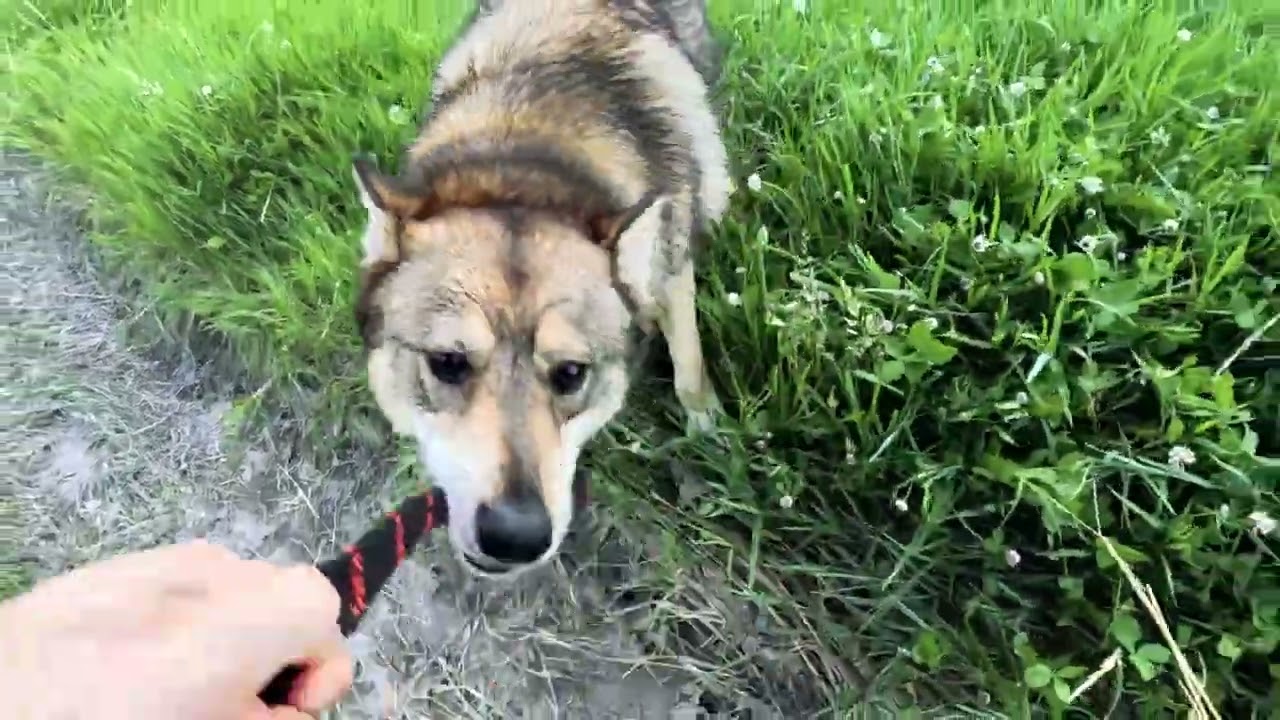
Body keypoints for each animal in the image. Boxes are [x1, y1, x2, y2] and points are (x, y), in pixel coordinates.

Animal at [350, 0, 730, 577]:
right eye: (447, 363)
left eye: (571, 374)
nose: (516, 537)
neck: (523, 162)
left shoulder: (672, 268)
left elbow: (688, 364)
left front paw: (707, 429)